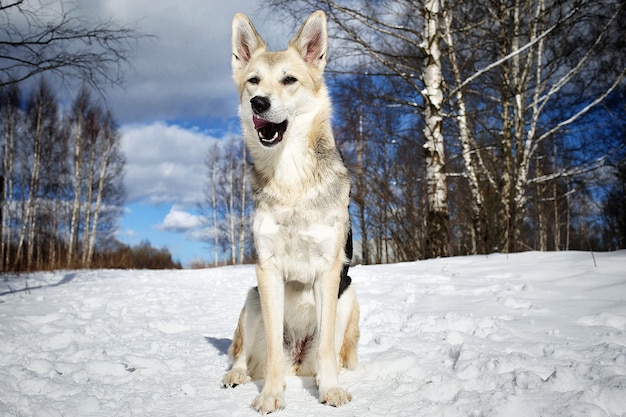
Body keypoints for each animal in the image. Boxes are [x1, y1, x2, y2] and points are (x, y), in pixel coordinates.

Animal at [223, 9, 360, 412]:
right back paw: (237, 375)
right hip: (251, 299)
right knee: (245, 355)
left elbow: (328, 349)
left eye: (289, 80)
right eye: (253, 81)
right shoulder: (266, 269)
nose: (259, 103)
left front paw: (330, 390)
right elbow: (269, 353)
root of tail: (297, 359)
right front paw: (270, 395)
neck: (291, 179)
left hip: (349, 296)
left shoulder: (329, 270)